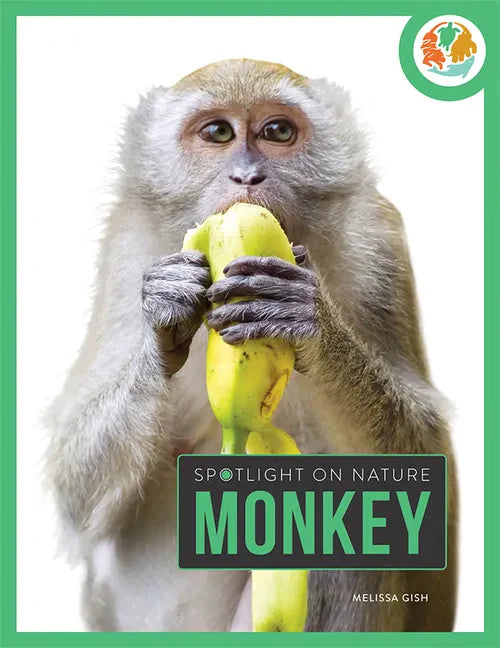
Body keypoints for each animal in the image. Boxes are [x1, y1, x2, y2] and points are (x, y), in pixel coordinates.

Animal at [46, 59, 457, 632]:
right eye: (218, 133)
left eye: (277, 131)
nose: (246, 176)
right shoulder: (125, 244)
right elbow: (74, 484)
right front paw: (166, 313)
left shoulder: (378, 239)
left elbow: (423, 463)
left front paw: (305, 317)